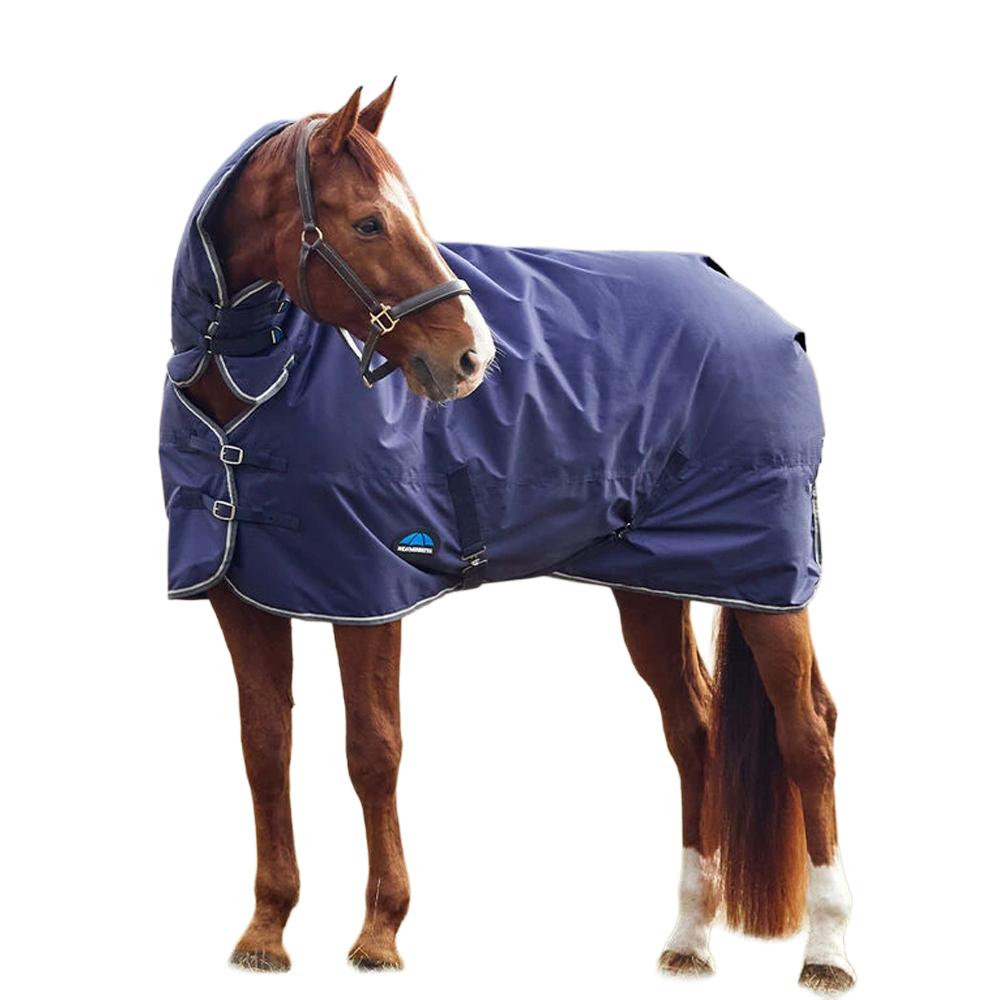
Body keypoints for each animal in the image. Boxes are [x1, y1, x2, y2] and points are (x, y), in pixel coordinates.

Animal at [162, 82, 855, 993]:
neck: (251, 391)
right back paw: (689, 940)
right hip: (655, 585)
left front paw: (378, 936)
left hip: (769, 580)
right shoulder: (242, 597)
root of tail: (762, 309)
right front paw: (267, 932)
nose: (471, 358)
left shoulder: (371, 593)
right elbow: (265, 748)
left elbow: (372, 750)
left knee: (808, 734)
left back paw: (829, 950)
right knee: (695, 732)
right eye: (369, 222)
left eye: (412, 214)